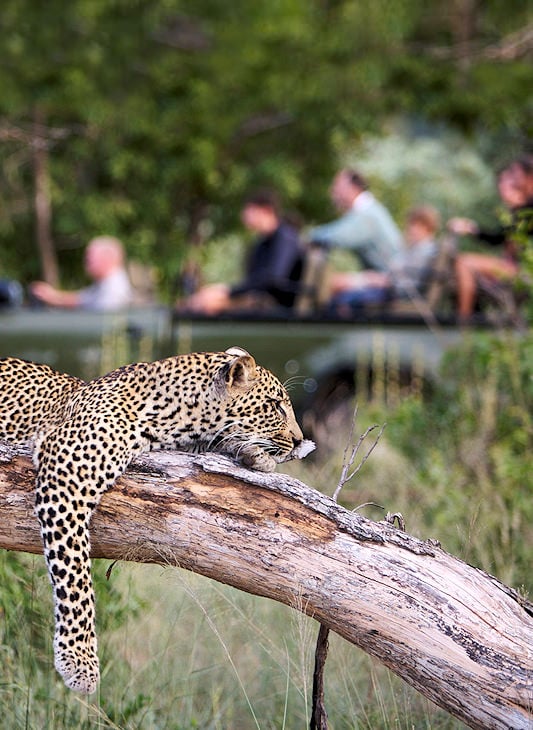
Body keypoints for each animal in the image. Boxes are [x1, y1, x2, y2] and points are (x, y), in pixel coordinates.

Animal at [0, 346, 314, 694]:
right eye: (275, 405)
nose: (299, 441)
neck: (173, 416)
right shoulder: (66, 477)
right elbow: (75, 576)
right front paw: (79, 661)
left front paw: (252, 453)